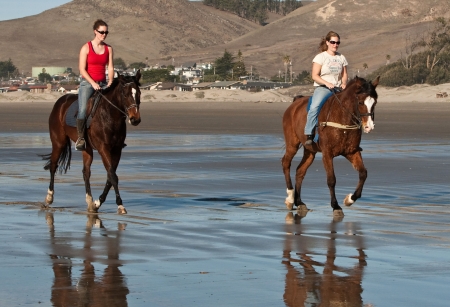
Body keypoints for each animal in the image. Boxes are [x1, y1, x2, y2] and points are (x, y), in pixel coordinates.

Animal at [42, 72, 142, 215]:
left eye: (138, 93)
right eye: (125, 94)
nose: (135, 119)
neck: (109, 115)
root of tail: (61, 101)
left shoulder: (117, 150)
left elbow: (110, 177)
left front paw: (97, 203)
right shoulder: (103, 148)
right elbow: (113, 176)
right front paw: (120, 205)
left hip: (86, 149)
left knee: (86, 172)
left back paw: (89, 201)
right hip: (58, 142)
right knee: (53, 166)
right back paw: (49, 198)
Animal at [284, 76, 378, 217]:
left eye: (375, 102)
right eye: (361, 102)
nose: (369, 127)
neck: (343, 118)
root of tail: (295, 103)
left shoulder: (352, 152)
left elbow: (363, 173)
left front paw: (350, 199)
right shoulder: (327, 154)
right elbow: (331, 180)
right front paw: (336, 206)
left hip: (310, 151)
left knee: (300, 171)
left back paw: (299, 202)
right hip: (292, 144)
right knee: (286, 163)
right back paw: (290, 197)